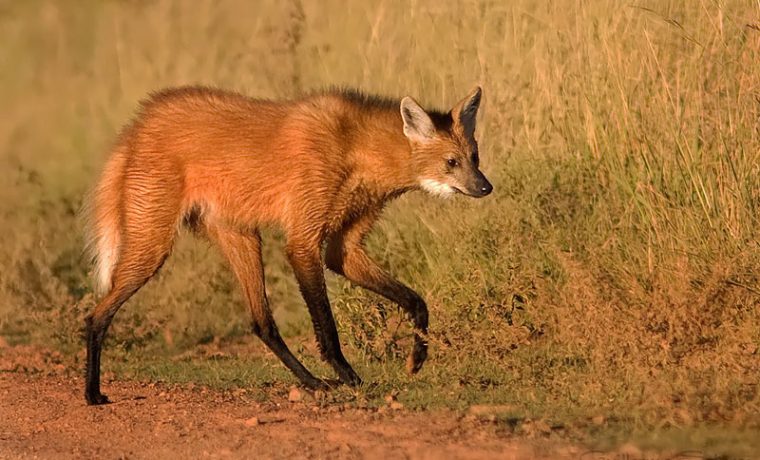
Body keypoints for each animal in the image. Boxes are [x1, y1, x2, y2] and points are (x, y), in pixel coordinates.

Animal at [83, 84, 492, 404]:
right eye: (451, 162)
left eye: (474, 158)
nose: (485, 187)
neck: (354, 145)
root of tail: (136, 126)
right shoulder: (303, 241)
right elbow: (328, 328)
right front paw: (351, 377)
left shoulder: (341, 249)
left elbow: (416, 301)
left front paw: (417, 357)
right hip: (153, 245)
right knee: (96, 315)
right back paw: (93, 393)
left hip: (242, 237)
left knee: (262, 323)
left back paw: (310, 382)